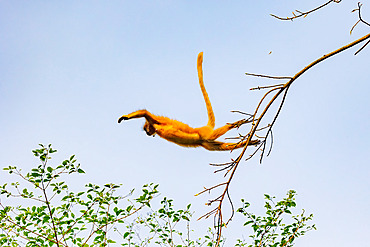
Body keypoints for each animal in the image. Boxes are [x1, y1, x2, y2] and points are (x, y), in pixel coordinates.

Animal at [117, 52, 258, 151]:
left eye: (147, 130)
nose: (147, 134)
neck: (156, 128)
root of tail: (203, 128)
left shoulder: (157, 121)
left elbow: (146, 113)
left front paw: (125, 117)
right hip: (204, 141)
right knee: (218, 146)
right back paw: (247, 141)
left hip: (204, 134)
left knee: (214, 135)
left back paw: (235, 125)